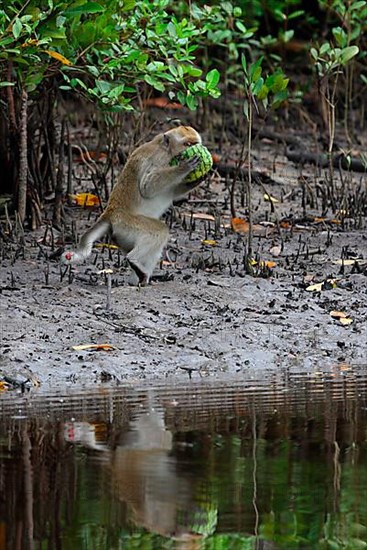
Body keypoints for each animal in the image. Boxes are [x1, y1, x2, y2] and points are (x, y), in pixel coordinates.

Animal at [61, 126, 203, 286]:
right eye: (187, 144)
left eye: (195, 142)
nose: (196, 147)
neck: (166, 149)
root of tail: (110, 213)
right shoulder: (159, 158)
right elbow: (148, 187)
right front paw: (183, 167)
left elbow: (173, 192)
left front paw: (200, 178)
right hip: (126, 224)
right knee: (159, 231)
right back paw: (134, 260)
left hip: (122, 235)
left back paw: (139, 280)